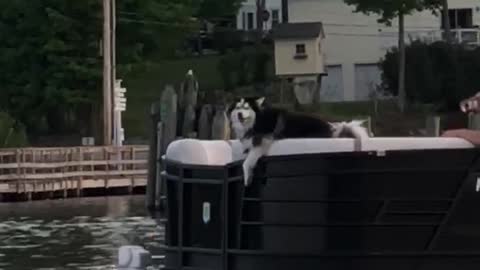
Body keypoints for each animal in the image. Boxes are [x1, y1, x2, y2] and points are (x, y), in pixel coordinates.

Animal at [228, 96, 372, 187]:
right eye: (238, 108)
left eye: (246, 108)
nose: (240, 114)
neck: (256, 120)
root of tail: (333, 130)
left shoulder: (262, 141)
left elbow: (246, 162)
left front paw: (247, 176)